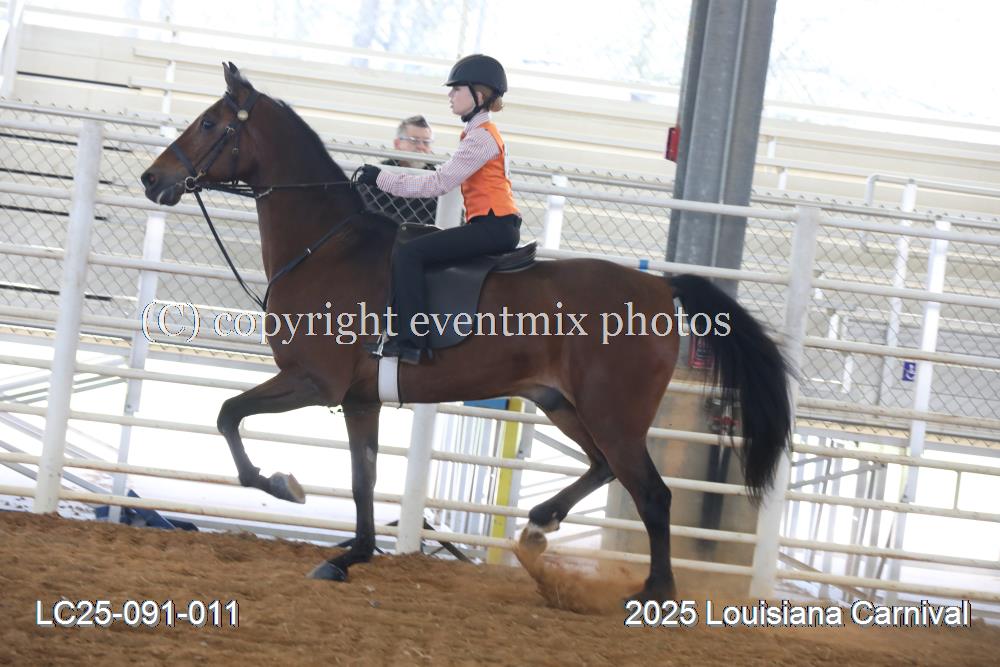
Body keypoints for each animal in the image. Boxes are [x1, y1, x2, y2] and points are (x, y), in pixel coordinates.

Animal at [140, 63, 791, 600]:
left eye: (209, 122)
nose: (151, 179)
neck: (326, 247)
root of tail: (661, 288)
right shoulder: (358, 400)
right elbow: (361, 480)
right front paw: (352, 555)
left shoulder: (312, 382)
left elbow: (228, 414)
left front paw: (280, 485)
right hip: (562, 402)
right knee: (604, 468)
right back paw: (539, 529)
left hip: (613, 412)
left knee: (652, 494)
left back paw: (652, 591)